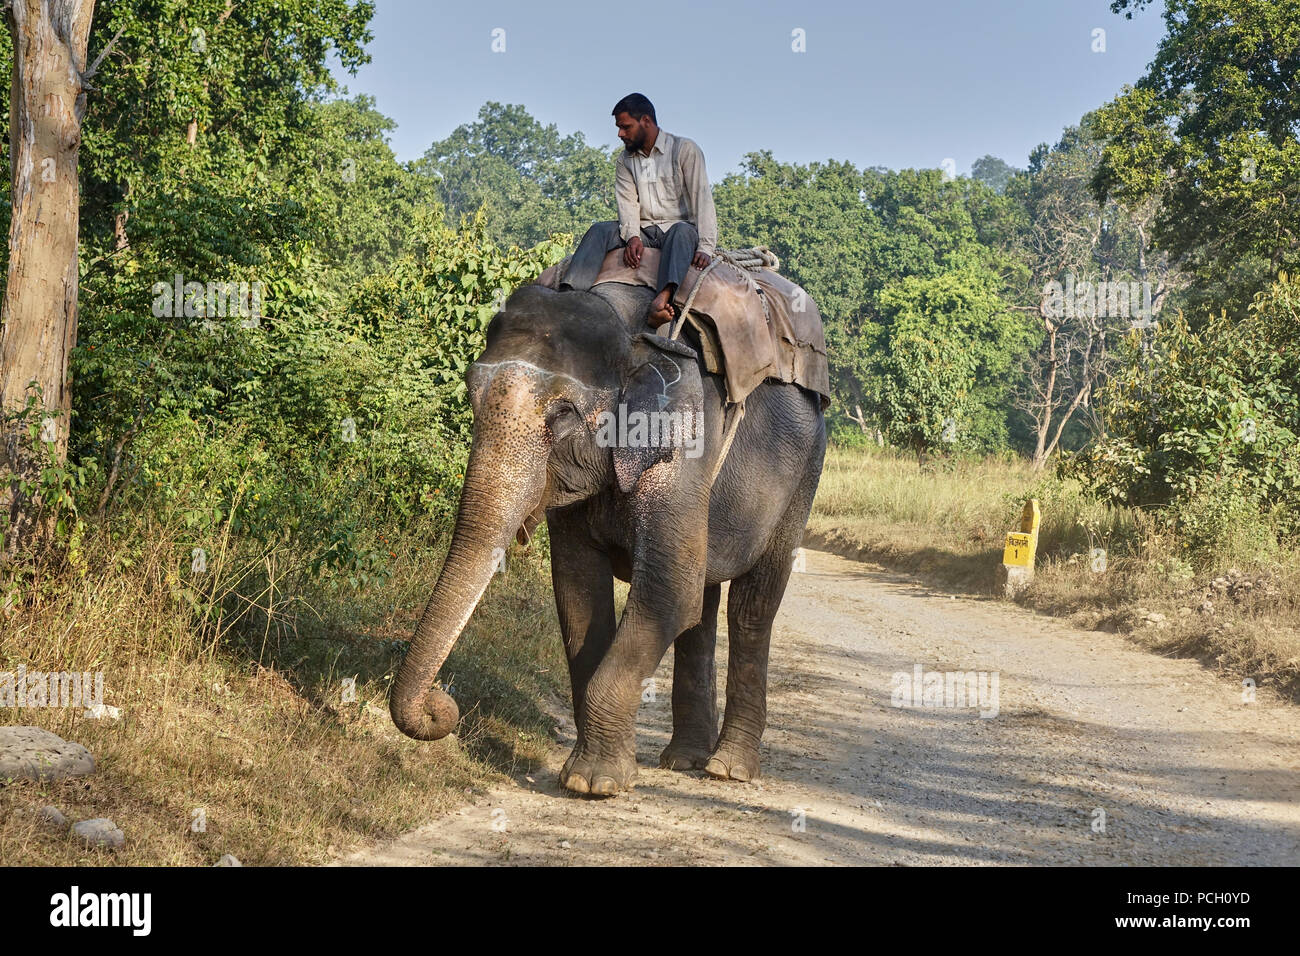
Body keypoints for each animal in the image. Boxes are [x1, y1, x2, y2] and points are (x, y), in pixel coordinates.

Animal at [390, 280, 826, 796]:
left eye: (562, 413)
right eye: (470, 395)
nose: (442, 706)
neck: (629, 331)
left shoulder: (684, 450)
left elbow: (666, 592)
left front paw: (593, 783)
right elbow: (579, 592)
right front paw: (587, 773)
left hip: (804, 475)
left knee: (751, 608)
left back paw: (728, 768)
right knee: (702, 605)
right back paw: (684, 760)